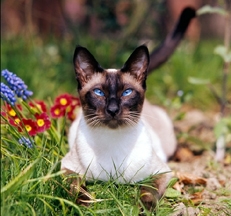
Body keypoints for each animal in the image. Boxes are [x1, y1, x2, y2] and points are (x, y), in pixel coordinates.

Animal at [61, 7, 195, 209]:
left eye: (127, 92)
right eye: (99, 92)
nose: (113, 110)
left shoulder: (161, 172)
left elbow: (148, 190)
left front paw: (144, 209)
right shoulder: (66, 168)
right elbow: (76, 187)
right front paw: (83, 205)